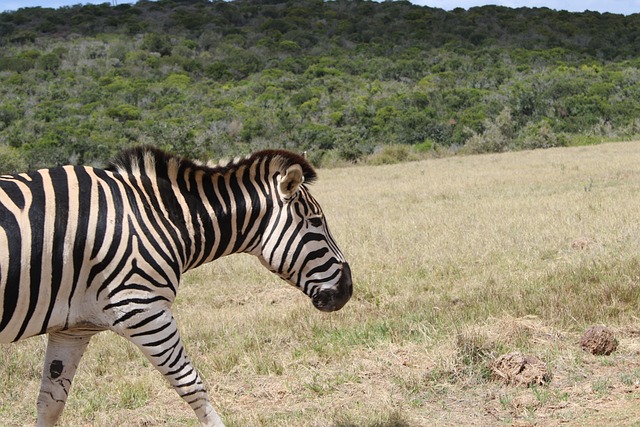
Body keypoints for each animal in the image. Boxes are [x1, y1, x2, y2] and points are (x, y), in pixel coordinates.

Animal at [0, 145, 352, 426]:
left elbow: (50, 403)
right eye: (316, 222)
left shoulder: (73, 328)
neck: (159, 218)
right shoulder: (143, 310)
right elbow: (192, 385)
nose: (347, 290)